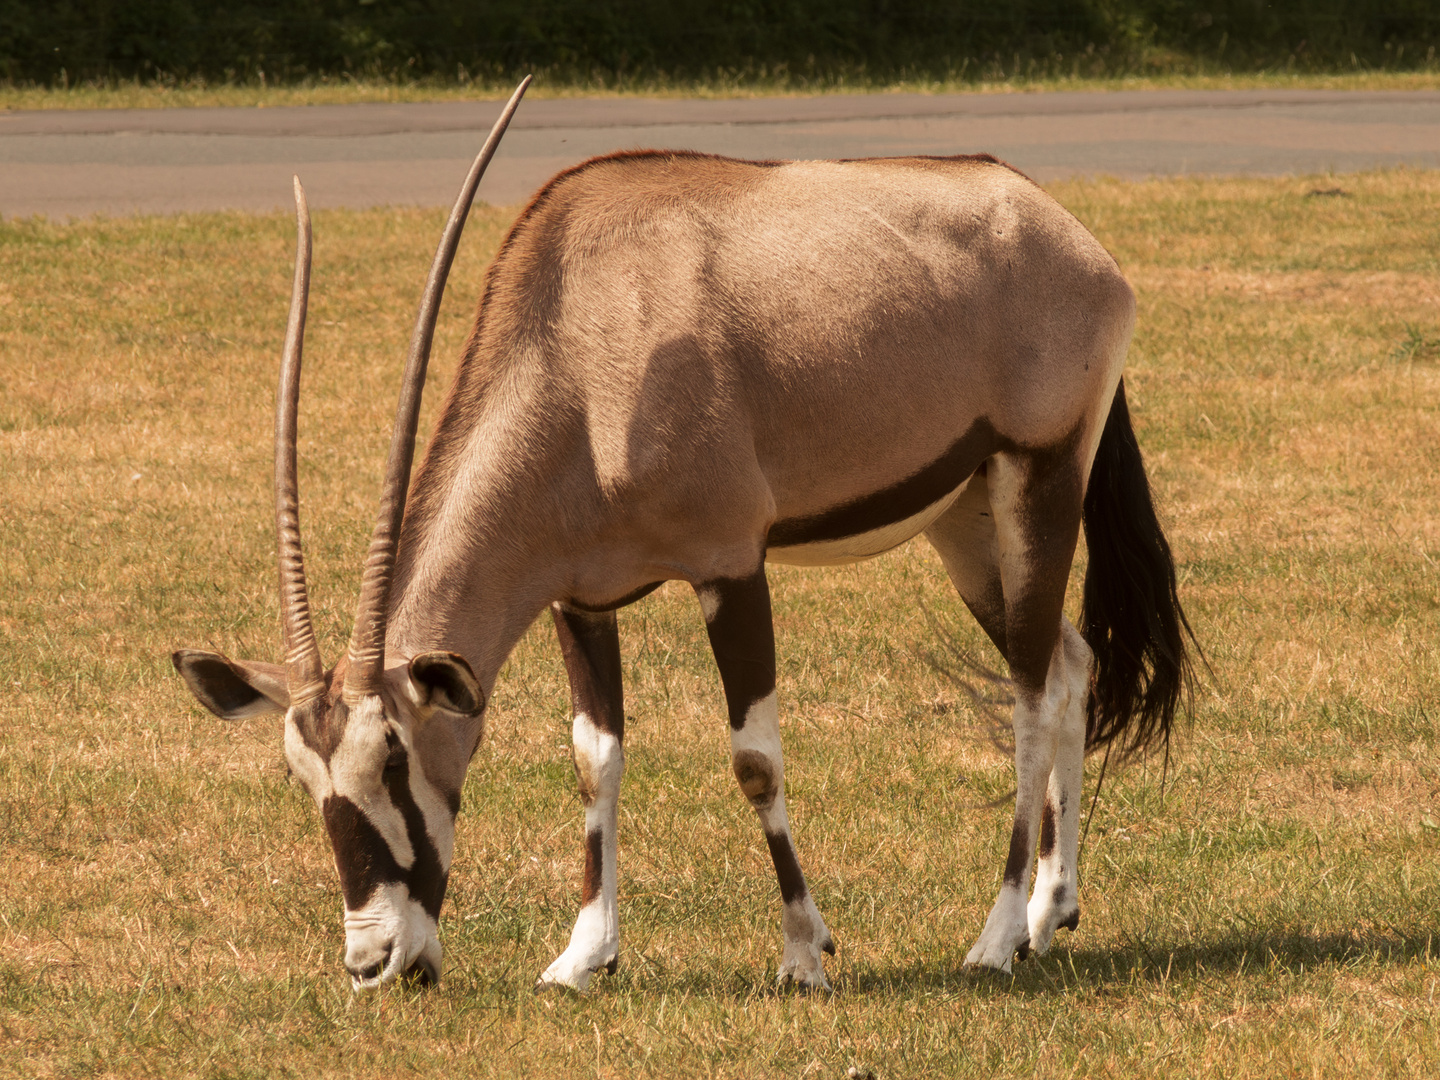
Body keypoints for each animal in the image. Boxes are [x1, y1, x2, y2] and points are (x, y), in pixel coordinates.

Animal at [174, 80, 1198, 996]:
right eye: (300, 773)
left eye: (391, 755)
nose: (373, 962)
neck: (581, 357)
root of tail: (1061, 228)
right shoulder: (579, 598)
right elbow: (594, 759)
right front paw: (583, 957)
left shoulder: (729, 566)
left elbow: (754, 760)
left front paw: (804, 956)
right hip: (968, 521)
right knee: (1067, 663)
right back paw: (1048, 913)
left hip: (1040, 479)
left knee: (1029, 693)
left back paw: (994, 937)